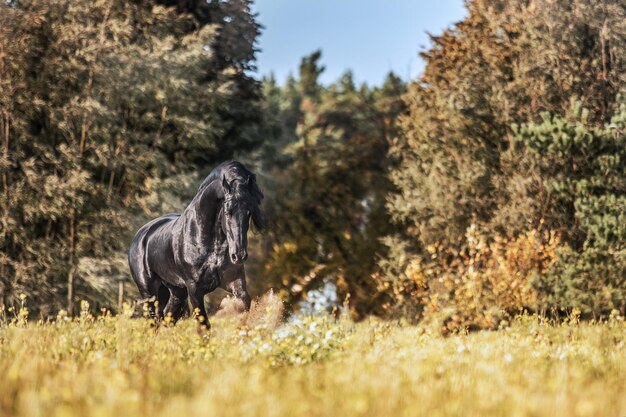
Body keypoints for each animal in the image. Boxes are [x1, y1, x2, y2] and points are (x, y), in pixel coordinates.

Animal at [127, 161, 264, 326]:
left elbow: (244, 306)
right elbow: (203, 324)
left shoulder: (235, 282)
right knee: (154, 322)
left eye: (249, 212)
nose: (238, 255)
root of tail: (141, 234)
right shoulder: (194, 290)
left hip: (177, 291)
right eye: (227, 212)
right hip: (149, 293)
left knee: (167, 318)